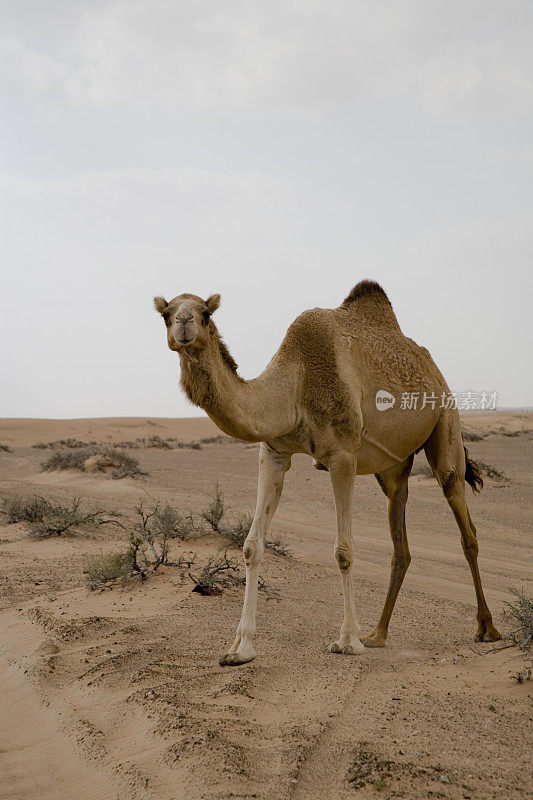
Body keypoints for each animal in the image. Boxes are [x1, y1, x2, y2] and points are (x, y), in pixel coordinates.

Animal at [153, 278, 498, 664]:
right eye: (166, 313)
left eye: (206, 313)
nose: (184, 324)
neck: (296, 385)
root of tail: (432, 367)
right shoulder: (273, 452)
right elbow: (251, 546)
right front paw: (240, 648)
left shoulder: (343, 456)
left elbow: (343, 550)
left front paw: (347, 640)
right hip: (393, 468)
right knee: (401, 540)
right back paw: (378, 634)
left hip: (446, 418)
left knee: (464, 520)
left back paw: (486, 628)